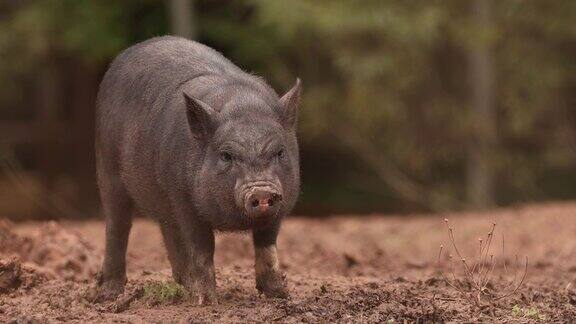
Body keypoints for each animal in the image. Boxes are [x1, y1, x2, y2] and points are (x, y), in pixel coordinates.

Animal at [92, 36, 302, 306]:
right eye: (226, 155)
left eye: (280, 152)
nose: (262, 191)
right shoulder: (185, 200)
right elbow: (202, 247)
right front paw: (206, 301)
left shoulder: (280, 205)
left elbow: (267, 246)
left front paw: (281, 296)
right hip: (107, 167)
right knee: (117, 225)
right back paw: (107, 295)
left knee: (168, 231)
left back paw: (183, 288)